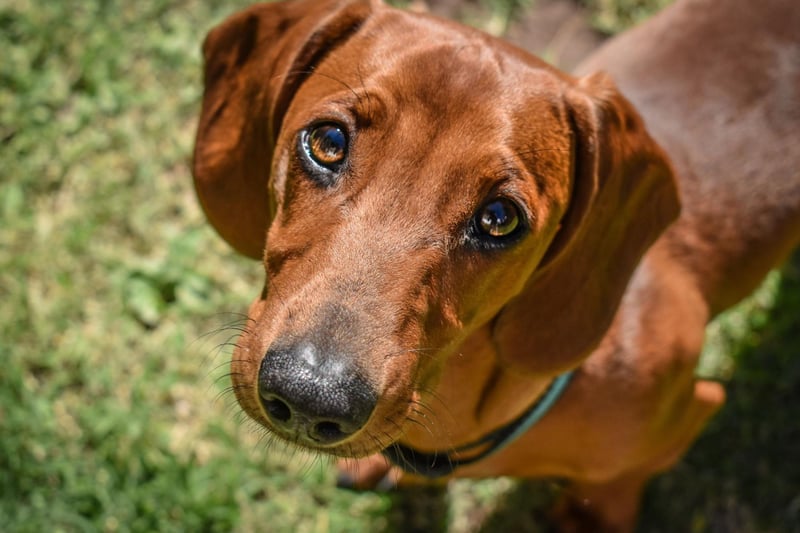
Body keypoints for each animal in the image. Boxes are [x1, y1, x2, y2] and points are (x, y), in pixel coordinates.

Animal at [194, 0, 800, 528]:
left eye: (499, 218)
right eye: (327, 141)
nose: (307, 395)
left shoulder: (696, 406)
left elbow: (619, 482)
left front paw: (594, 516)